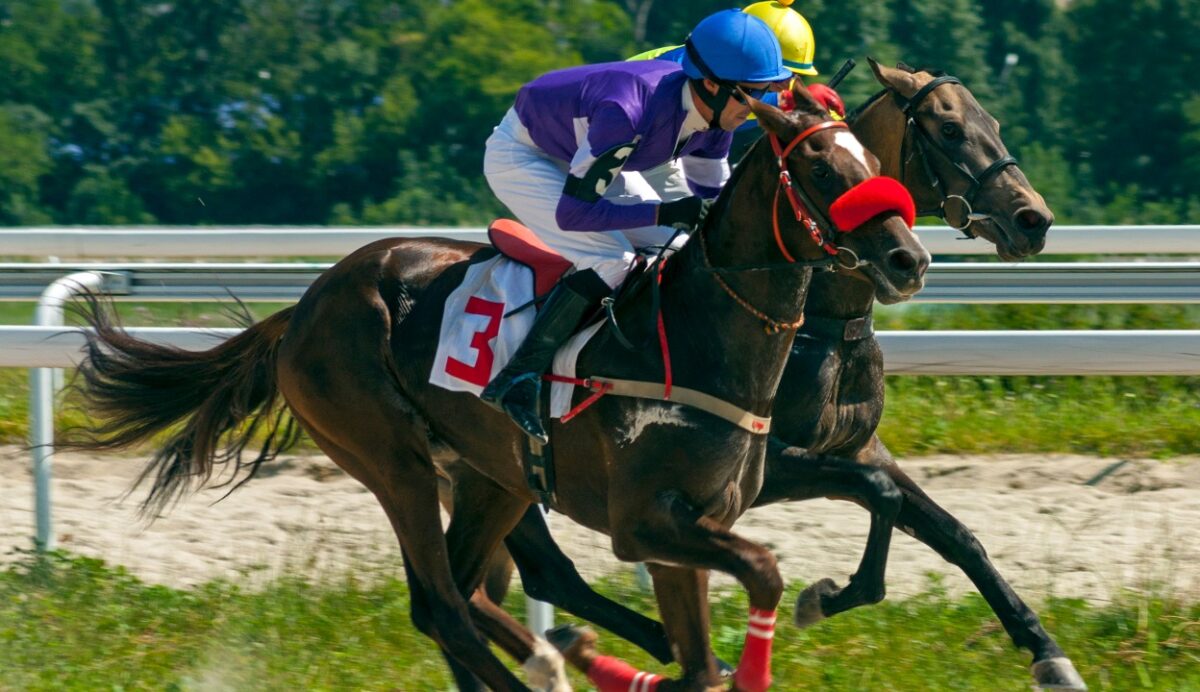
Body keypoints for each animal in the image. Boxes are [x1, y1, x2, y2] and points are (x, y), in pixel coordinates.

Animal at [67, 82, 928, 691]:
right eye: (822, 170)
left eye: (873, 164)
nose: (909, 260)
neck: (698, 336)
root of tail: (307, 304)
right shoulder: (645, 522)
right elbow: (763, 575)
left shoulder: (690, 526)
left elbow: (700, 653)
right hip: (394, 462)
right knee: (442, 605)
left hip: (494, 474)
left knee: (477, 589)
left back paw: (560, 656)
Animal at [444, 59, 1082, 690]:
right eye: (949, 129)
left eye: (992, 122)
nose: (1034, 218)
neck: (824, 319)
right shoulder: (771, 464)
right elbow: (880, 499)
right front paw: (823, 598)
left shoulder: (857, 447)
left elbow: (950, 533)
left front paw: (1047, 651)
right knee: (517, 578)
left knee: (502, 579)